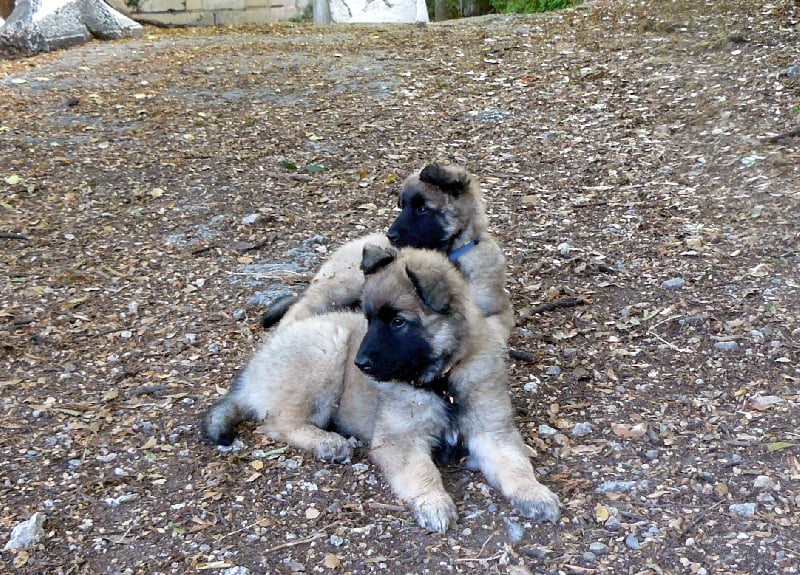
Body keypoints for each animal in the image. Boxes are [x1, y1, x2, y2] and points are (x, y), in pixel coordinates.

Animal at [203, 245, 560, 532]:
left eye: (398, 322)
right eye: (369, 318)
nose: (360, 364)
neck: (441, 381)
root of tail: (252, 372)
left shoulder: (492, 430)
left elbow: (514, 463)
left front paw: (533, 493)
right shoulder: (399, 439)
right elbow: (421, 470)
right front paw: (433, 502)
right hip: (327, 347)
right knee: (277, 423)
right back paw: (328, 442)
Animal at [262, 162, 512, 346]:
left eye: (422, 209)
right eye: (402, 206)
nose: (390, 235)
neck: (449, 254)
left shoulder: (498, 311)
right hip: (344, 284)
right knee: (300, 309)